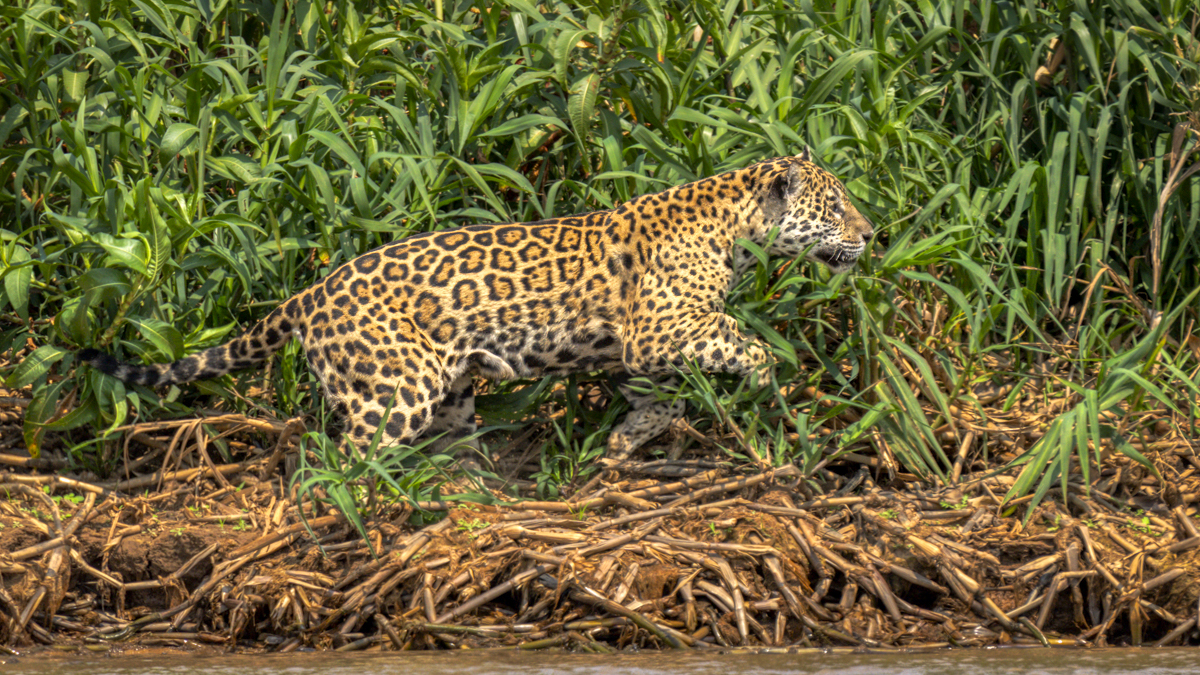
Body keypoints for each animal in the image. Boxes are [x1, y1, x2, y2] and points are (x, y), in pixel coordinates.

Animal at [78, 151, 874, 462]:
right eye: (835, 205)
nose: (872, 234)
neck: (736, 229)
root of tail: (308, 293)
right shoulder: (661, 329)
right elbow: (741, 337)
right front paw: (769, 377)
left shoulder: (638, 352)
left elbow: (664, 398)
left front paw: (624, 442)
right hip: (393, 389)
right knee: (339, 459)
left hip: (450, 387)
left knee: (449, 445)